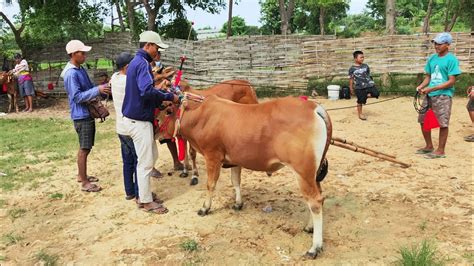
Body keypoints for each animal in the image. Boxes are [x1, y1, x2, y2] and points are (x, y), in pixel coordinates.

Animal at [165, 94, 332, 258]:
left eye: (165, 112)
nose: (160, 138)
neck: (201, 116)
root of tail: (314, 107)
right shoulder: (235, 160)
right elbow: (235, 182)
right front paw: (238, 203)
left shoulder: (212, 157)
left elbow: (210, 184)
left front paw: (205, 208)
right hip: (312, 174)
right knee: (319, 197)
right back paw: (309, 227)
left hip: (303, 172)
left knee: (314, 202)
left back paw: (315, 247)